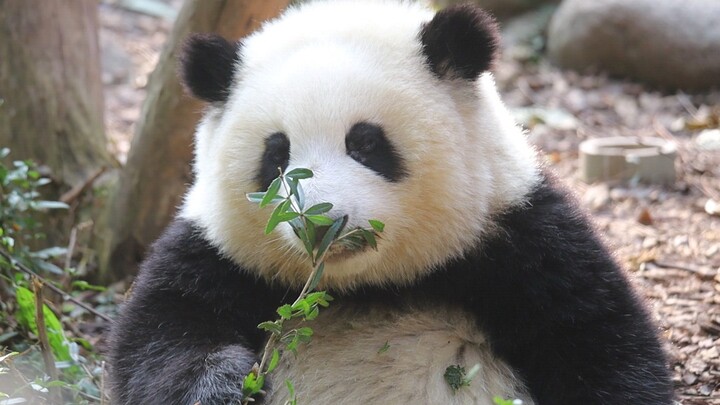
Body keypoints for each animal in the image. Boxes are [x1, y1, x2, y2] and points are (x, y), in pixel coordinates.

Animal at [107, 1, 676, 402]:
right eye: (276, 155)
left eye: (365, 143)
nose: (319, 226)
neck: (368, 287)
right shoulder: (218, 252)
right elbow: (159, 335)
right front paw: (219, 387)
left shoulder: (519, 237)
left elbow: (599, 342)